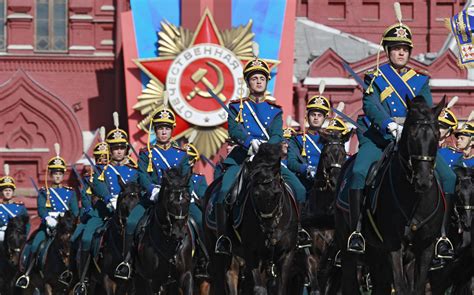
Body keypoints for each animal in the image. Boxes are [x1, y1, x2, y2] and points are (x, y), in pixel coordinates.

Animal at [334, 96, 444, 294]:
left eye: (437, 134)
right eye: (411, 133)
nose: (423, 179)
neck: (414, 199)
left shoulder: (425, 247)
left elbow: (417, 288)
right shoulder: (393, 245)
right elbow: (400, 287)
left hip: (375, 251)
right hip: (347, 243)